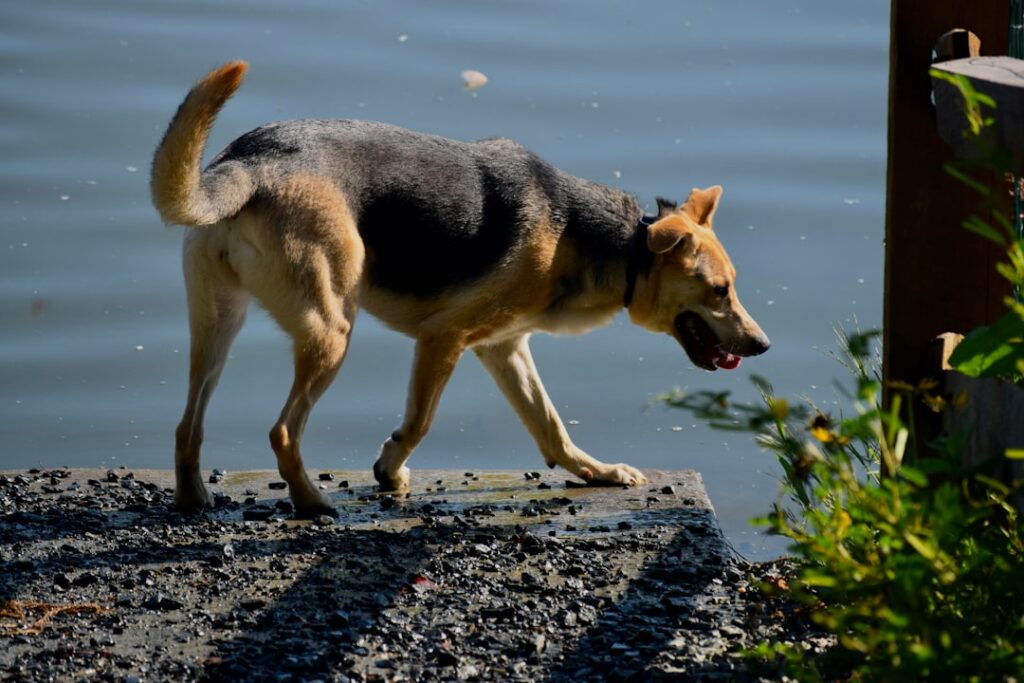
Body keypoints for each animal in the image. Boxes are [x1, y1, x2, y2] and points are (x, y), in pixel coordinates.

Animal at [151, 62, 770, 518]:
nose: (763, 346)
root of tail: (249, 163)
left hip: (217, 325)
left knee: (187, 425)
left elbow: (550, 428)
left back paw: (193, 498)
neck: (611, 244)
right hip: (331, 332)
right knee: (283, 431)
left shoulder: (505, 347)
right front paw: (390, 469)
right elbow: (420, 422)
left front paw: (598, 473)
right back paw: (313, 503)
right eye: (720, 291)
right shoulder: (443, 338)